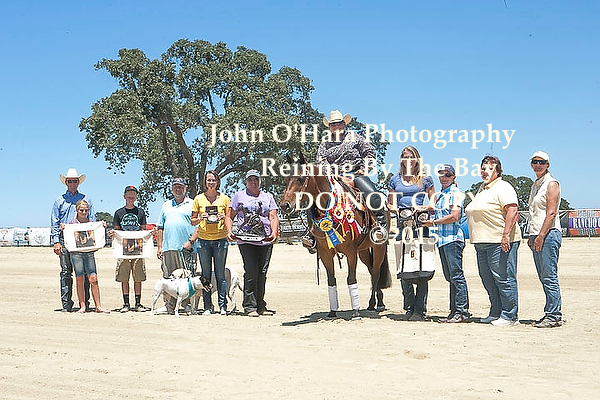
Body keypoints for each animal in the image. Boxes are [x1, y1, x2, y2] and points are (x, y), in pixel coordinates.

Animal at [280, 153, 392, 320]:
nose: (285, 205)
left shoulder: (351, 252)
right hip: (364, 251)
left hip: (379, 248)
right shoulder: (326, 253)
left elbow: (351, 279)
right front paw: (332, 312)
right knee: (372, 270)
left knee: (376, 273)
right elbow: (331, 280)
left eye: (301, 178)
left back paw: (375, 304)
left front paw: (356, 312)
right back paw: (376, 302)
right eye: (286, 179)